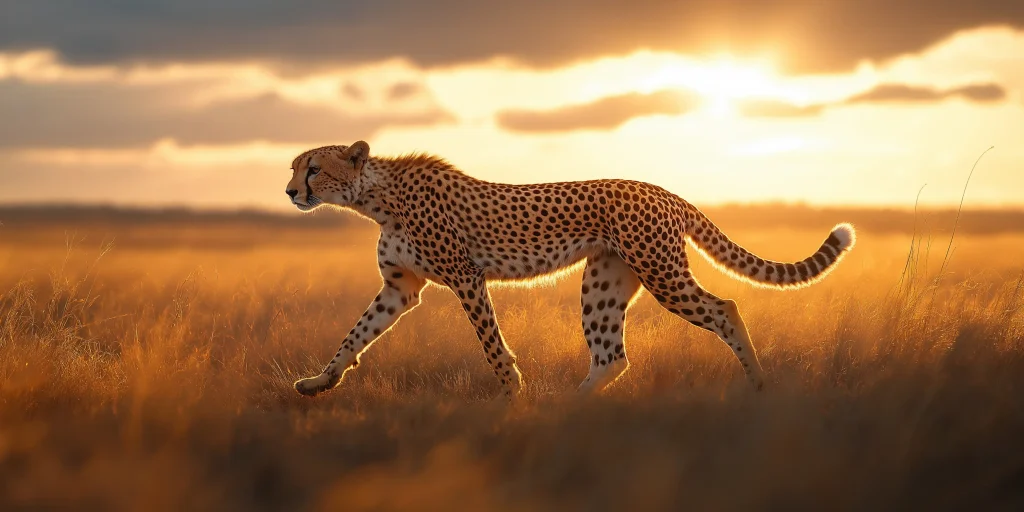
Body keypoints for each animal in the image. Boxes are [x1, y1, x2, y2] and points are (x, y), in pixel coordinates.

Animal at [285, 141, 856, 399]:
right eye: (294, 168)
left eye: (313, 168)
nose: (290, 192)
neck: (375, 198)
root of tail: (664, 190)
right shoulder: (400, 288)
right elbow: (355, 334)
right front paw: (320, 380)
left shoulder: (466, 277)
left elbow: (490, 342)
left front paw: (511, 393)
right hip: (604, 281)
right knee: (611, 355)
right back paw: (569, 406)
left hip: (662, 273)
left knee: (725, 308)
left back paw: (758, 385)